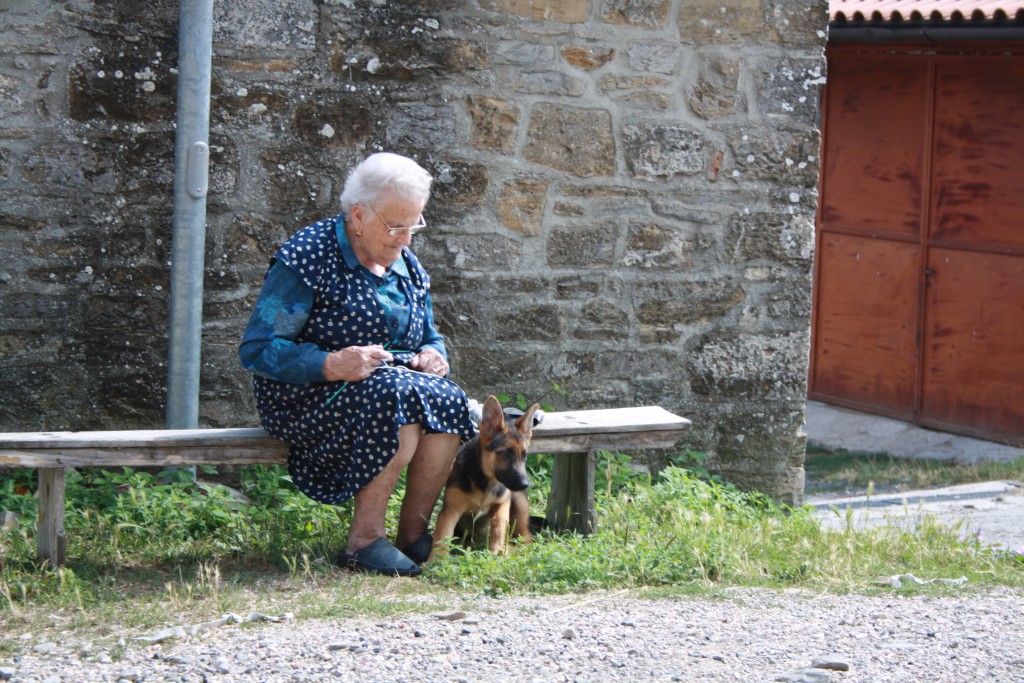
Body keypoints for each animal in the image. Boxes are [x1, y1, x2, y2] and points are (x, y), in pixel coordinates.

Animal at [428, 395, 540, 561]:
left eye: (524, 455)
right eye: (504, 453)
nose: (525, 484)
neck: (485, 482)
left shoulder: (502, 504)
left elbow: (498, 526)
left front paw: (497, 551)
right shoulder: (451, 509)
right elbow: (442, 534)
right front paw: (436, 560)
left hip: (519, 503)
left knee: (525, 539)